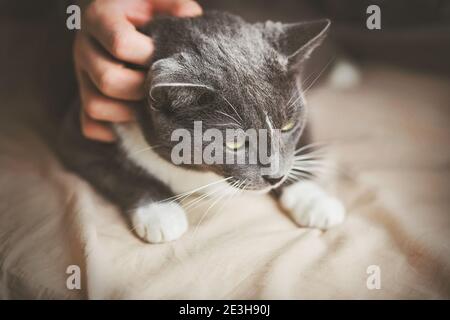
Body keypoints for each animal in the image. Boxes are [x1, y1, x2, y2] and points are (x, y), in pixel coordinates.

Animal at [57, 11, 344, 244]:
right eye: (233, 143)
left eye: (288, 125)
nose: (275, 177)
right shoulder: (79, 129)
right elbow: (120, 172)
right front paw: (161, 214)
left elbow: (299, 150)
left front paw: (316, 201)